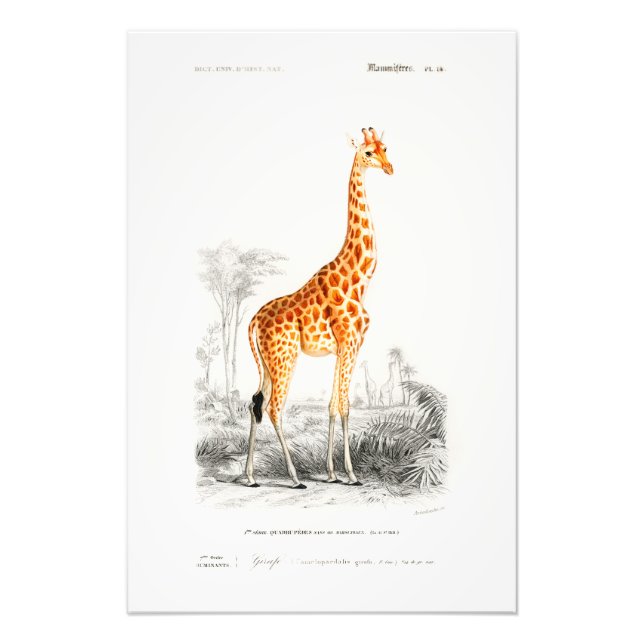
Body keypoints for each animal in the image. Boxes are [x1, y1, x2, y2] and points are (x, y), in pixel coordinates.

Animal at [245, 127, 393, 489]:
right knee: (273, 408)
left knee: (254, 402)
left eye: (385, 148)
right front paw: (351, 475)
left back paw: (250, 477)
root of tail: (253, 321)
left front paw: (332, 473)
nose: (389, 168)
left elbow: (332, 405)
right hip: (285, 358)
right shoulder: (350, 343)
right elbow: (346, 406)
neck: (359, 278)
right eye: (368, 153)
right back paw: (295, 477)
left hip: (268, 363)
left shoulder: (343, 348)